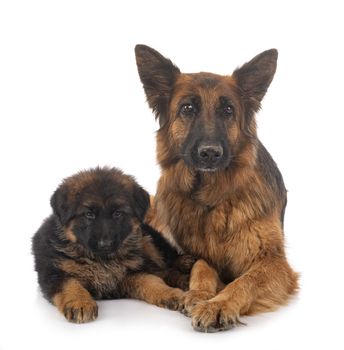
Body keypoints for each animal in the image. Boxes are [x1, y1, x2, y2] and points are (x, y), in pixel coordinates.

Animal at [32, 167, 194, 322]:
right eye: (89, 214)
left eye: (117, 214)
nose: (105, 244)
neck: (100, 260)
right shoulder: (53, 272)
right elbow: (70, 285)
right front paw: (80, 302)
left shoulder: (130, 273)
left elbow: (152, 281)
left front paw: (171, 293)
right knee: (162, 271)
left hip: (147, 240)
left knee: (165, 260)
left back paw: (185, 263)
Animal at [134, 45, 298, 332]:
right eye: (187, 108)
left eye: (228, 110)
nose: (210, 153)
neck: (213, 199)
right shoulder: (203, 255)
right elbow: (202, 268)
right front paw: (199, 294)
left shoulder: (273, 262)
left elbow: (245, 281)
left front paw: (219, 304)